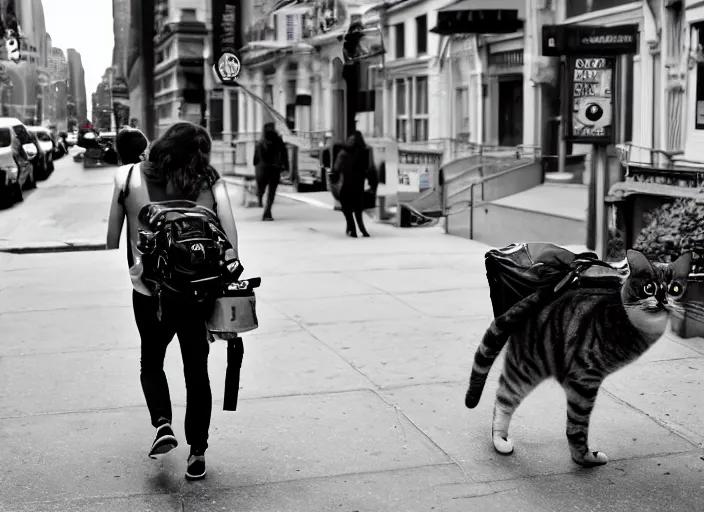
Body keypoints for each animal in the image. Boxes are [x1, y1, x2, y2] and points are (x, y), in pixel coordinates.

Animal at [464, 249, 692, 468]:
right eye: (649, 288)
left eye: (675, 289)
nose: (663, 300)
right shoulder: (584, 377)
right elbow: (576, 427)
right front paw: (583, 458)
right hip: (533, 366)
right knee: (515, 401)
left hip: (525, 366)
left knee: (504, 396)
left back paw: (500, 439)